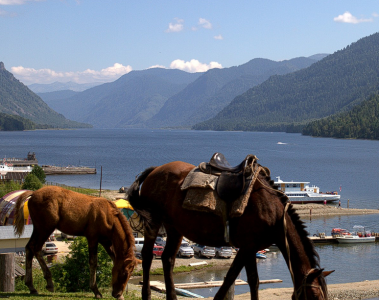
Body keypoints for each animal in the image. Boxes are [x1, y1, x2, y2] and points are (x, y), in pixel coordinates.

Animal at [127, 162, 332, 300]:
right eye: (315, 296)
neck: (273, 212)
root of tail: (155, 170)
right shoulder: (248, 246)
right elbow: (242, 279)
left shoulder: (248, 248)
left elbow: (241, 279)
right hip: (153, 223)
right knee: (147, 257)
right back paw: (146, 294)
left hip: (175, 228)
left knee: (167, 259)